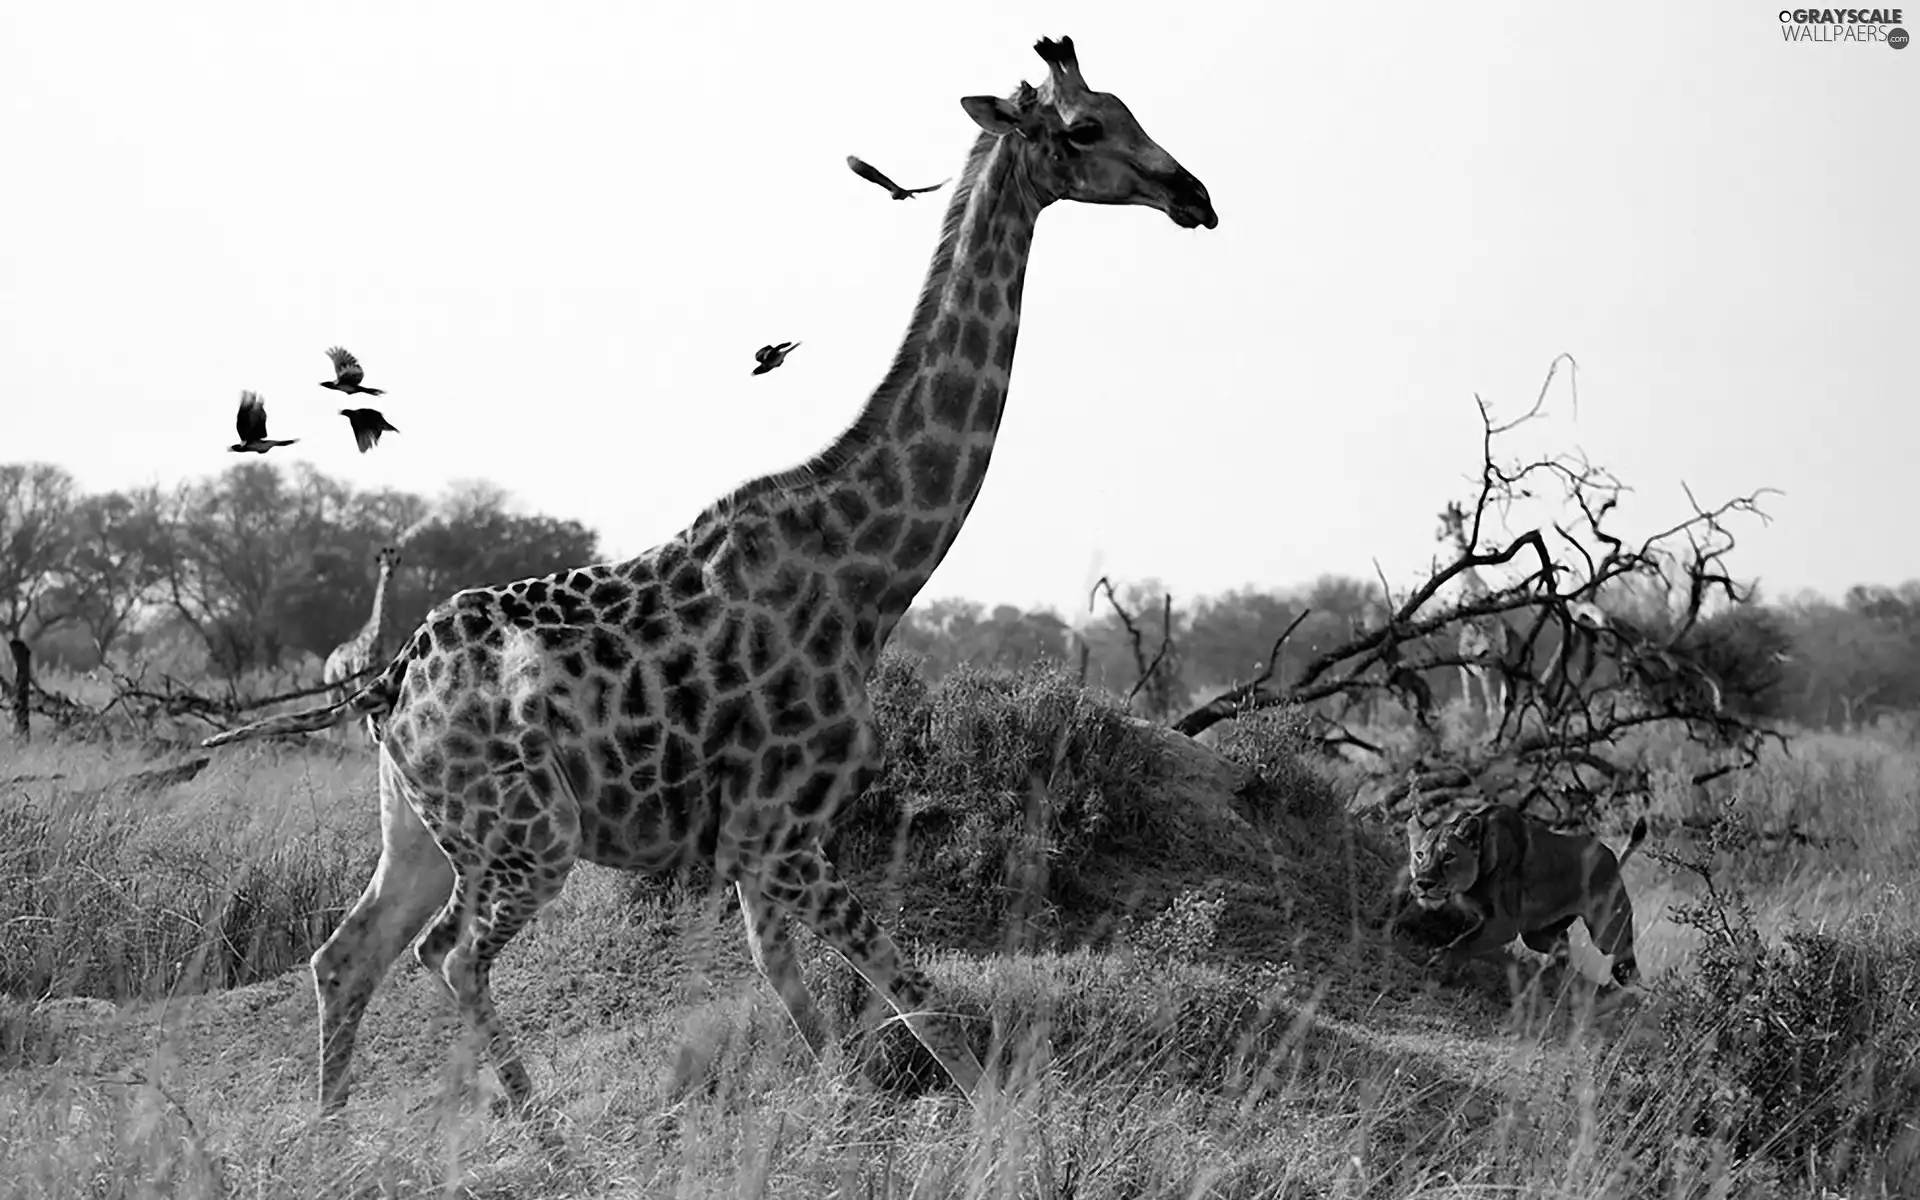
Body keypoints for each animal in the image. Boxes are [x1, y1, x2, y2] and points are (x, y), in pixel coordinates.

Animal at [324, 545, 403, 741]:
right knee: (335, 716)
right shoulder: (362, 675)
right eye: (382, 563)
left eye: (394, 563)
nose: (388, 573)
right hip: (332, 686)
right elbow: (363, 719)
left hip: (345, 687)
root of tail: (328, 660)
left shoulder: (381, 675)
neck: (378, 634)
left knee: (342, 719)